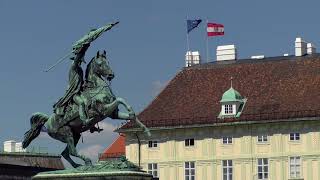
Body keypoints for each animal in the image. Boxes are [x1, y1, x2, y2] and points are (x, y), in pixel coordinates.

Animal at [22, 50, 150, 167]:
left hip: (75, 135)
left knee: (66, 153)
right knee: (72, 151)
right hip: (67, 133)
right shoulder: (103, 110)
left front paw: (145, 129)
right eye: (100, 64)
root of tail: (48, 121)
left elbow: (128, 111)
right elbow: (120, 99)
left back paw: (77, 166)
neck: (96, 88)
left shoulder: (113, 114)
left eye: (108, 62)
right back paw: (87, 161)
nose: (111, 75)